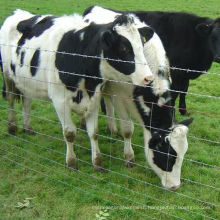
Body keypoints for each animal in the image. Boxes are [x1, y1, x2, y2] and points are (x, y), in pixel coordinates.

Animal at [0, 9, 155, 170]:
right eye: (123, 48)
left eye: (142, 45)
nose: (148, 78)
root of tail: (18, 12)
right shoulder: (59, 101)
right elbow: (69, 133)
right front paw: (71, 162)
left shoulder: (94, 98)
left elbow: (93, 132)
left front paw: (97, 162)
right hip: (7, 74)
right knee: (10, 99)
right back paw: (12, 127)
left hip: (26, 81)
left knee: (27, 101)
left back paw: (27, 127)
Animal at [84, 5, 220, 115]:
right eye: (213, 37)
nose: (218, 57)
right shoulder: (175, 72)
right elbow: (175, 93)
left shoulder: (185, 73)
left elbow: (184, 90)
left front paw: (183, 110)